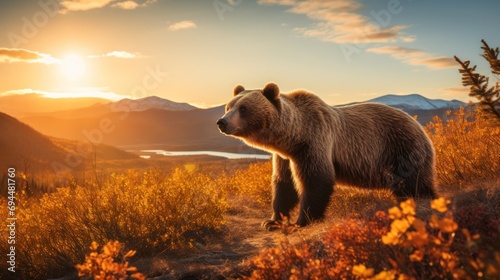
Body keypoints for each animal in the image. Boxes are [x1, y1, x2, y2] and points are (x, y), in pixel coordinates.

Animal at [217, 82, 436, 230]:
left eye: (243, 108)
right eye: (229, 106)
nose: (222, 122)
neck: (293, 137)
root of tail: (420, 126)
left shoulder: (314, 142)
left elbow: (316, 180)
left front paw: (302, 221)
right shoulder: (285, 157)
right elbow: (284, 184)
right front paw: (272, 220)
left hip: (402, 149)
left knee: (415, 182)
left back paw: (424, 202)